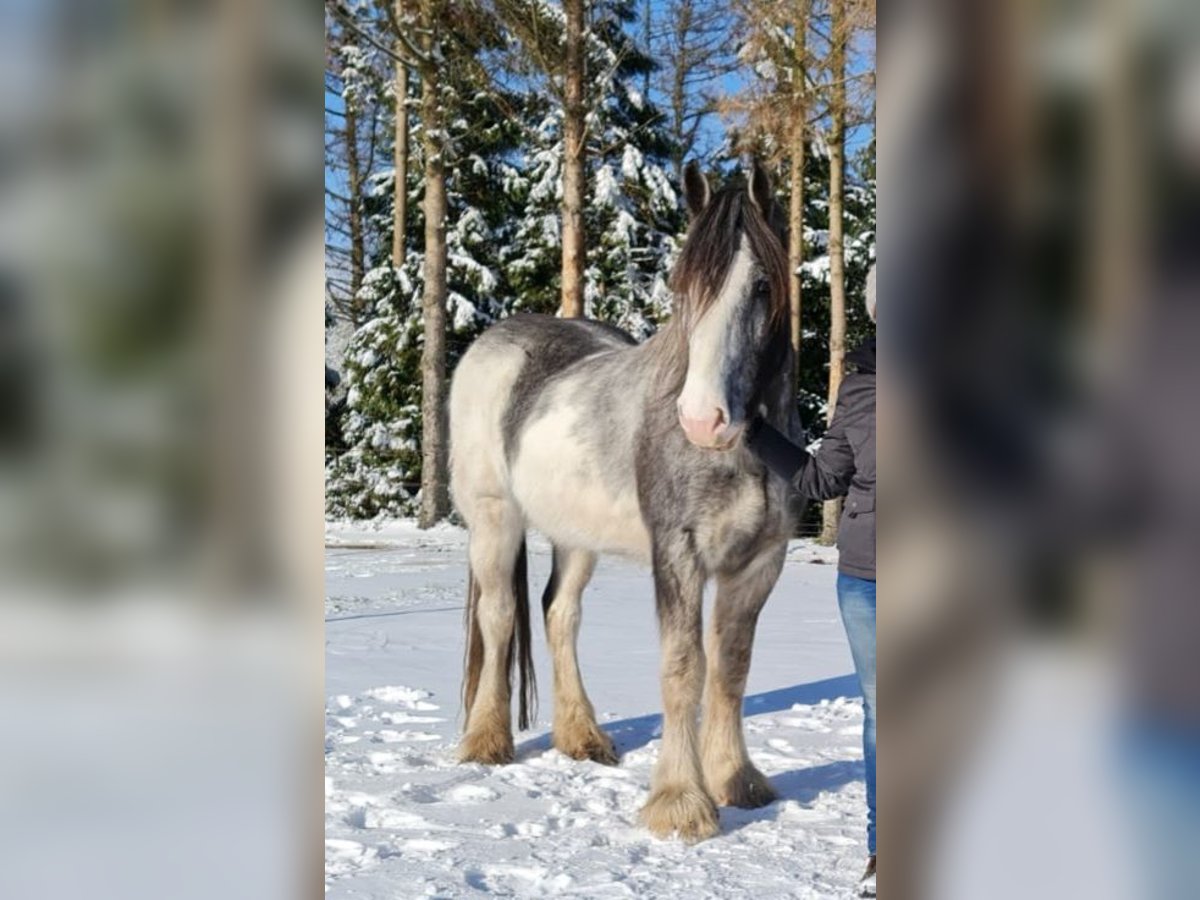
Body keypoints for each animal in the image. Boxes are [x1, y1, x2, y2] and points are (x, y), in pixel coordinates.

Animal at [448, 158, 796, 844]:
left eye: (763, 285)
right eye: (683, 289)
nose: (703, 420)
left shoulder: (760, 565)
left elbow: (732, 668)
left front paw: (738, 781)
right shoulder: (678, 556)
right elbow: (684, 669)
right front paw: (681, 803)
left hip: (576, 537)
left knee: (559, 613)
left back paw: (582, 737)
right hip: (495, 521)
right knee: (499, 618)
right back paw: (486, 742)